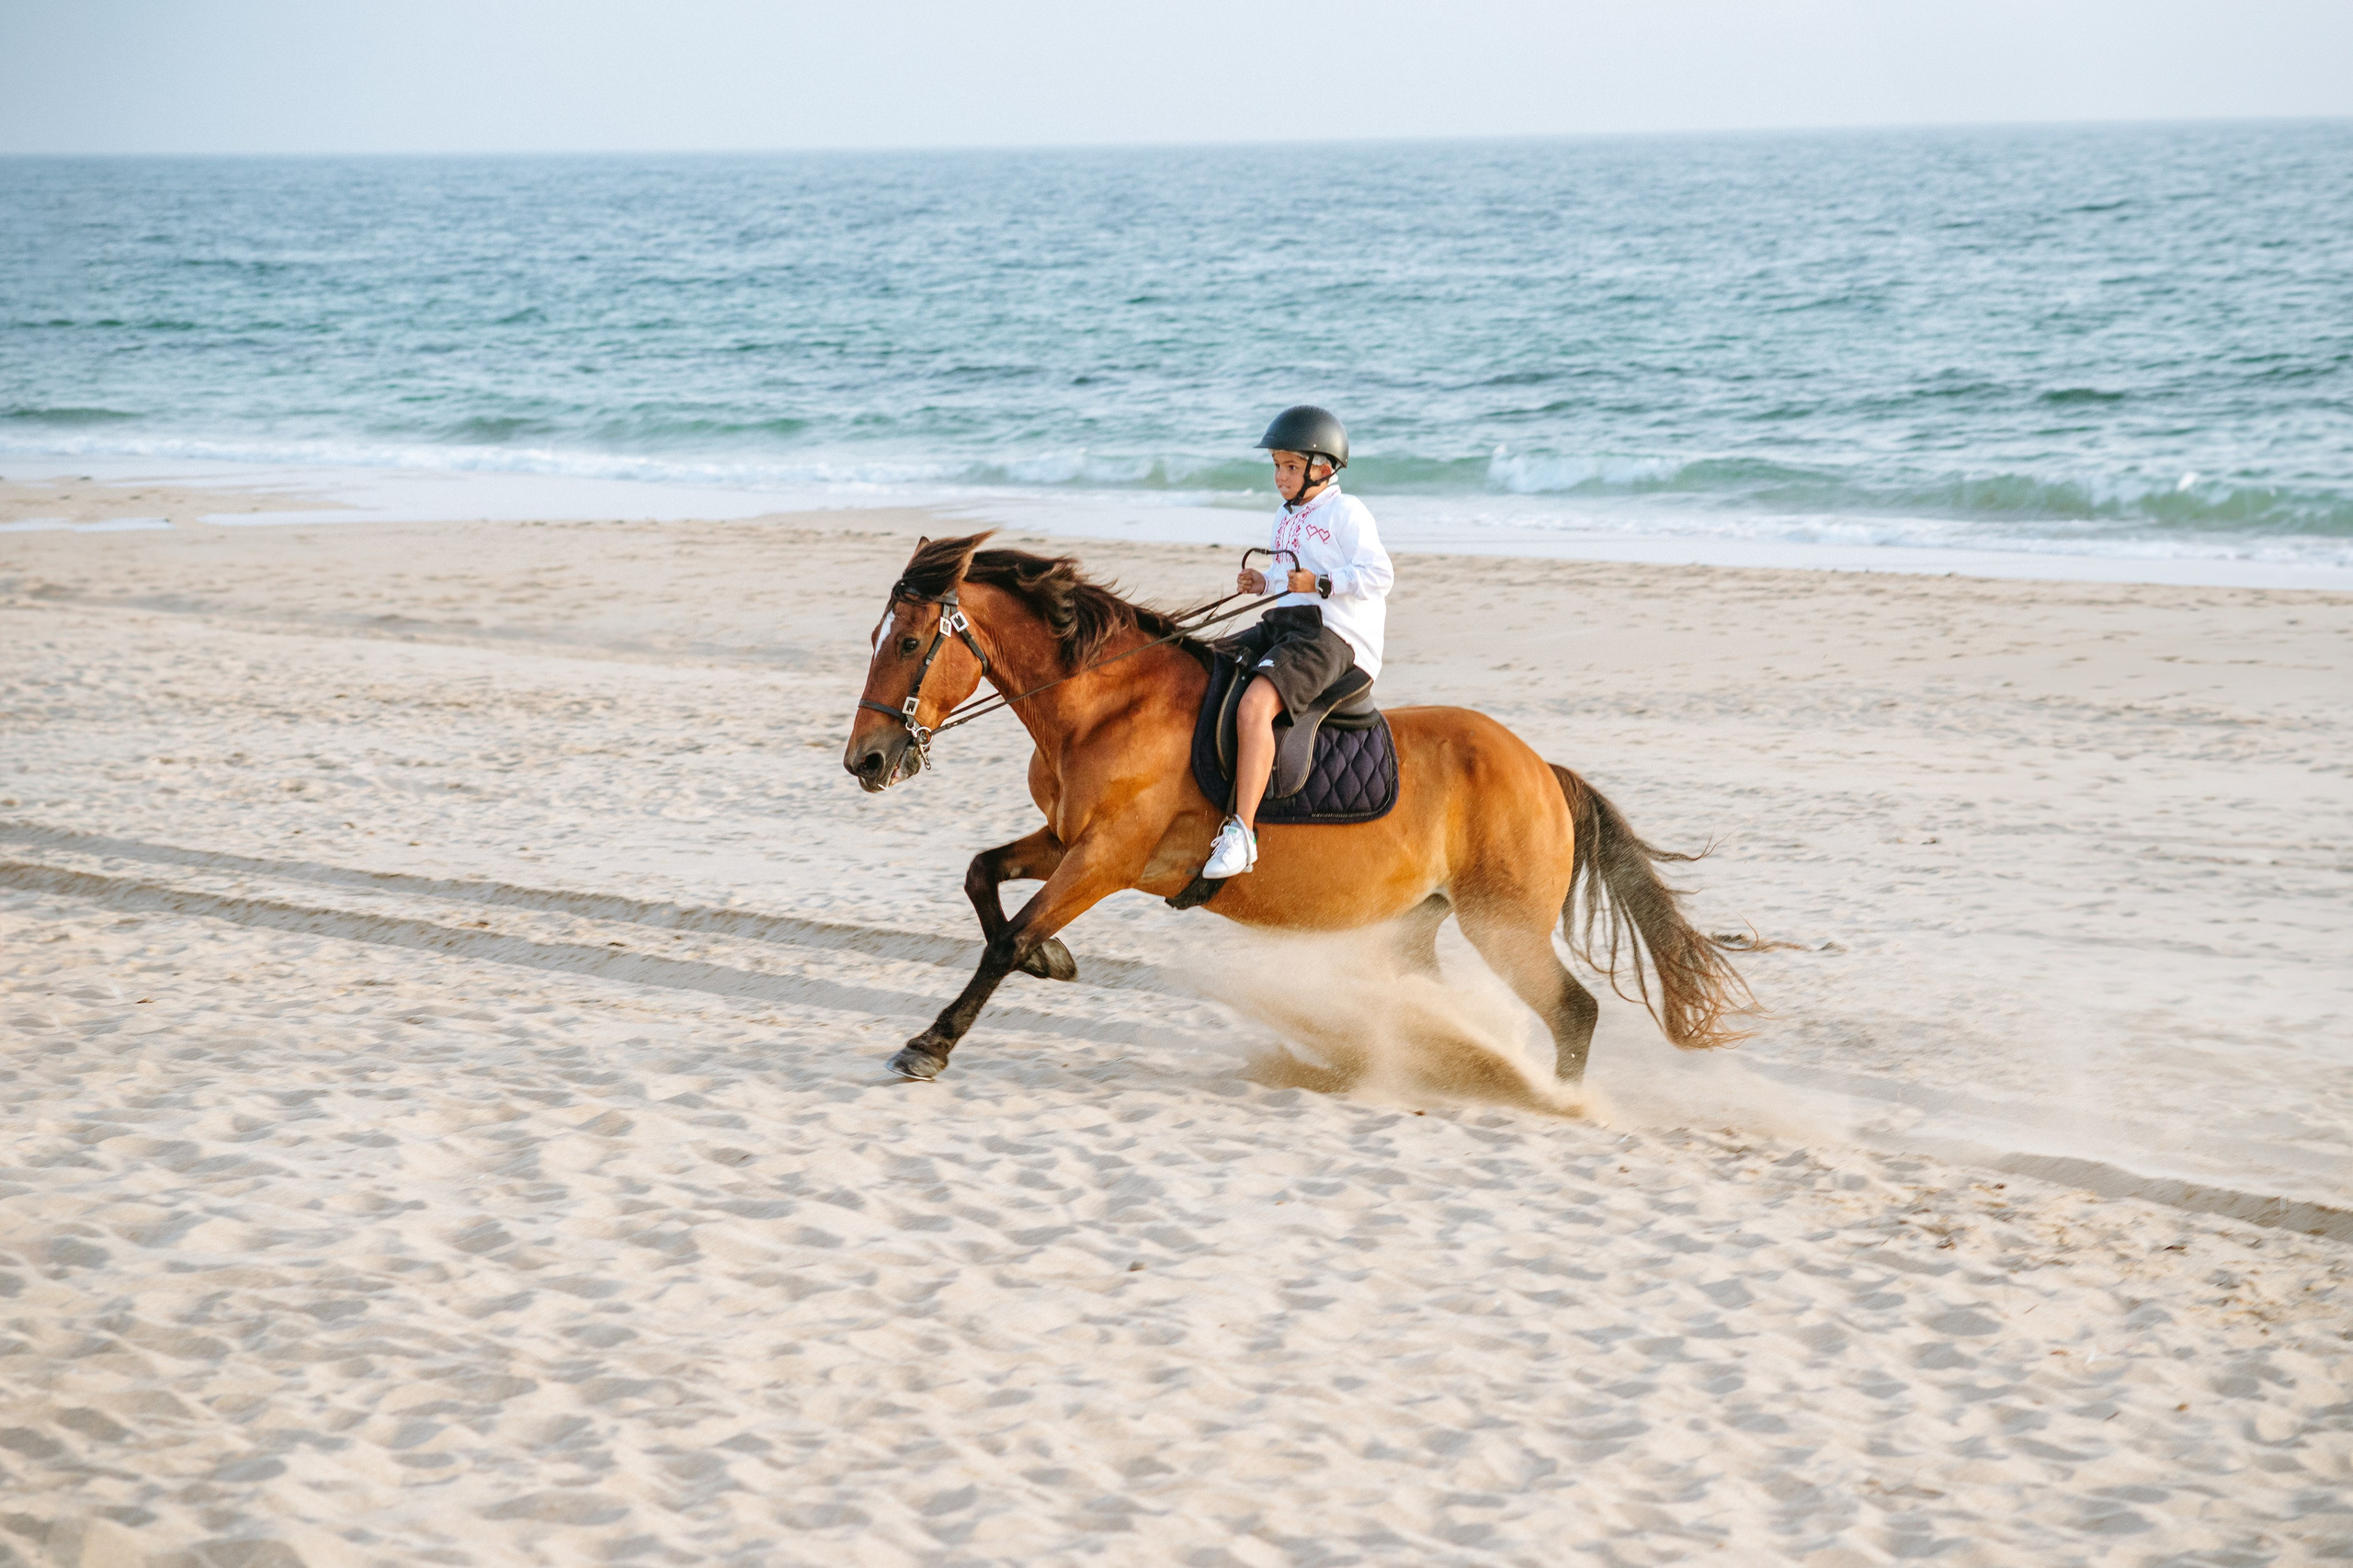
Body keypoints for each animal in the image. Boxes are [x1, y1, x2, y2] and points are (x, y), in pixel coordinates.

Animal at [842, 533, 1752, 1083]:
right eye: (880, 636)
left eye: (911, 642)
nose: (866, 762)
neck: (1102, 704)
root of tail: (1541, 771)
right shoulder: (1067, 838)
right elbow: (981, 878)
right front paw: (1053, 960)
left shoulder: (1105, 859)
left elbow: (1007, 938)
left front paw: (932, 1042)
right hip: (1426, 921)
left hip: (1504, 925)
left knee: (1573, 1011)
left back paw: (1555, 1101)